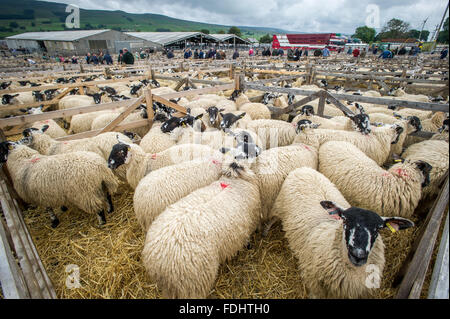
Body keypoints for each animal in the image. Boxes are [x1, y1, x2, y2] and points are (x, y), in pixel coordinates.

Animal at [268, 168, 414, 300]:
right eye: (345, 221)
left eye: (377, 229)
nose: (358, 255)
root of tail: (303, 169)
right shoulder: (314, 284)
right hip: (278, 207)